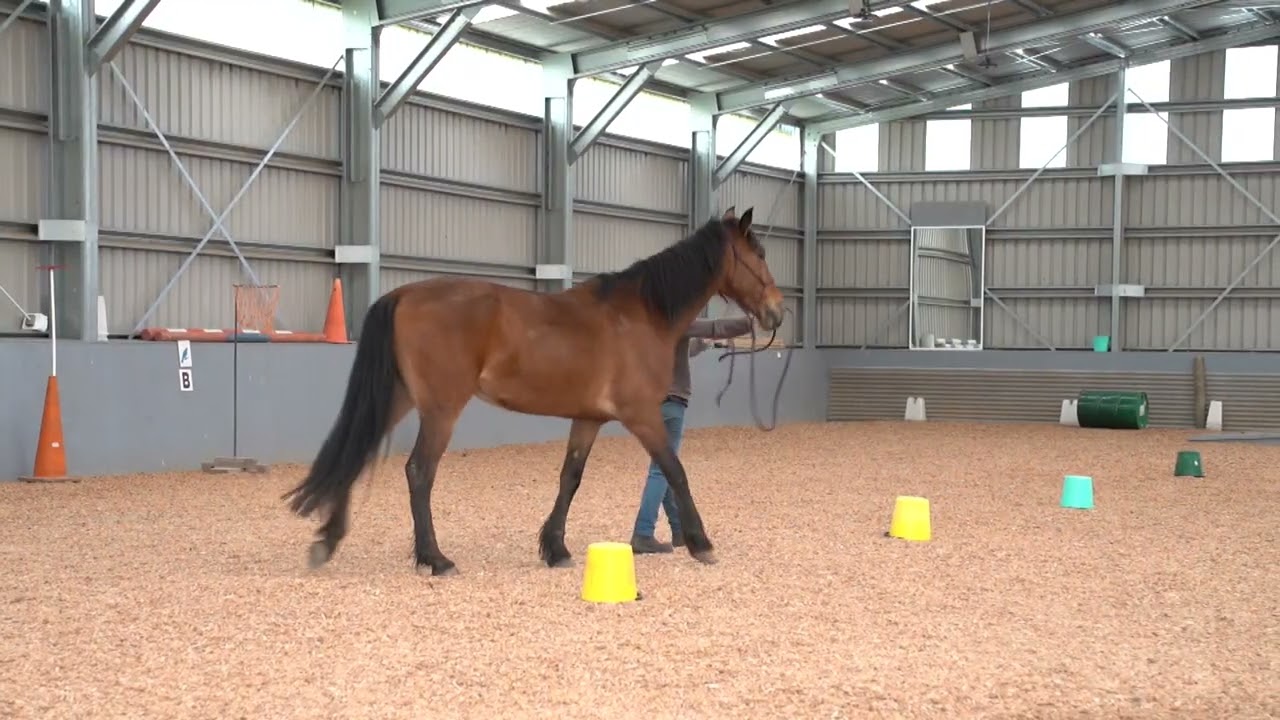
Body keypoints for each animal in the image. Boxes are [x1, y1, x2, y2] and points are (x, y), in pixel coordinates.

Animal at [281, 206, 786, 577]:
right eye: (759, 255)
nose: (776, 313)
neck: (641, 314)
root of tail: (401, 294)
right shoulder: (642, 415)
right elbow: (676, 471)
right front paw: (701, 543)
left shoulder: (588, 418)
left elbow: (570, 479)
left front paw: (555, 549)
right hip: (441, 408)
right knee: (419, 472)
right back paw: (435, 559)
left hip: (400, 399)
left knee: (358, 452)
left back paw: (327, 541)